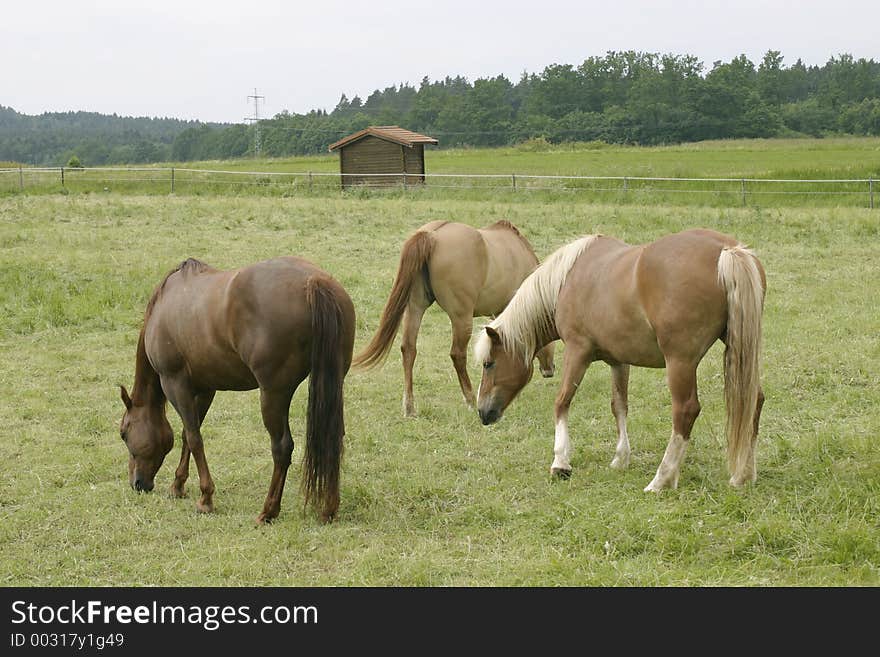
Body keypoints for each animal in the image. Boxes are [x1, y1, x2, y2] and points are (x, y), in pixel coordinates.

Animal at [118, 256, 356, 524]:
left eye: (124, 434)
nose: (137, 483)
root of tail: (314, 282)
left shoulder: (175, 383)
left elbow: (194, 438)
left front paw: (206, 498)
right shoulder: (205, 389)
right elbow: (188, 435)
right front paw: (178, 485)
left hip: (273, 394)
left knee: (282, 448)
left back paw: (268, 511)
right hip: (332, 384)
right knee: (333, 438)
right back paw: (329, 508)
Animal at [352, 220, 552, 416]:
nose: (550, 370)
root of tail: (431, 234)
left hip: (415, 307)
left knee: (408, 349)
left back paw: (409, 407)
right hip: (461, 318)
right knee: (457, 355)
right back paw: (470, 399)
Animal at [470, 228, 768, 490]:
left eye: (489, 363)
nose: (483, 412)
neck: (566, 280)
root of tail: (727, 251)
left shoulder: (577, 353)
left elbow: (562, 401)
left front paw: (560, 462)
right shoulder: (619, 361)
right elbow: (619, 406)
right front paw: (621, 458)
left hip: (680, 363)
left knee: (685, 411)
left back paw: (661, 480)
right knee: (754, 399)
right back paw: (743, 475)